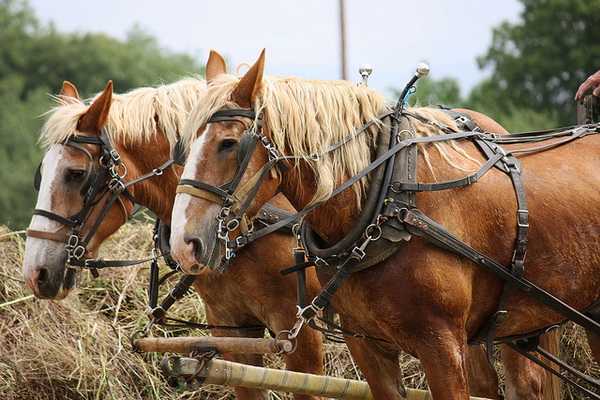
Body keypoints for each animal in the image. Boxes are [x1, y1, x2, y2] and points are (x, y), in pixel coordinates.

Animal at [169, 50, 596, 400]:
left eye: (228, 143)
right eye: (183, 146)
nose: (183, 243)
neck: (387, 201)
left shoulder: (443, 347)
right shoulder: (368, 345)